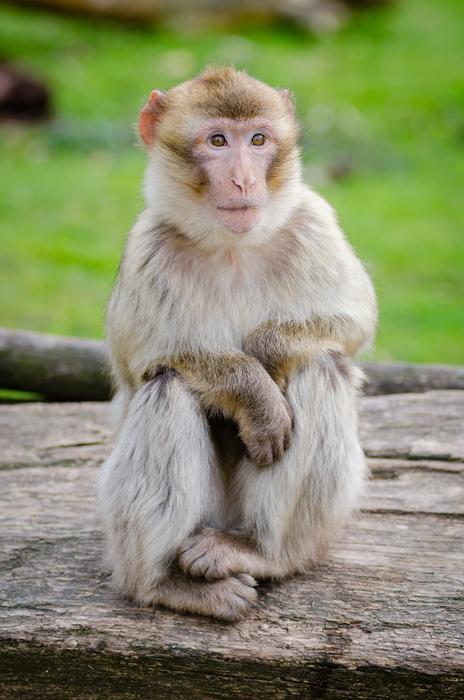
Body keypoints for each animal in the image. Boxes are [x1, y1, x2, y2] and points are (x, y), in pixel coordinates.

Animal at [97, 66, 377, 621]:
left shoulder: (315, 223)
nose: (244, 180)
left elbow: (353, 321)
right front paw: (256, 395)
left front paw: (268, 355)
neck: (232, 248)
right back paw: (163, 584)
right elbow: (148, 361)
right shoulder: (148, 249)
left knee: (320, 366)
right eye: (218, 141)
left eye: (259, 140)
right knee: (168, 387)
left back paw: (259, 550)